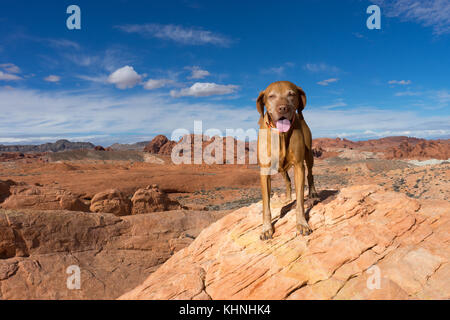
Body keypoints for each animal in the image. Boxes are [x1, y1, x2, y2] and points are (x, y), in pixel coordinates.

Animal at [256, 80, 320, 240]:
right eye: (271, 96)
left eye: (291, 94)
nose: (283, 108)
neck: (280, 134)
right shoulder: (265, 170)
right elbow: (266, 205)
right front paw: (266, 228)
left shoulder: (298, 166)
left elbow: (300, 201)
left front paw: (302, 223)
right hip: (280, 167)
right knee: (287, 180)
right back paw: (287, 198)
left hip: (309, 155)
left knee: (310, 173)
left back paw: (313, 192)